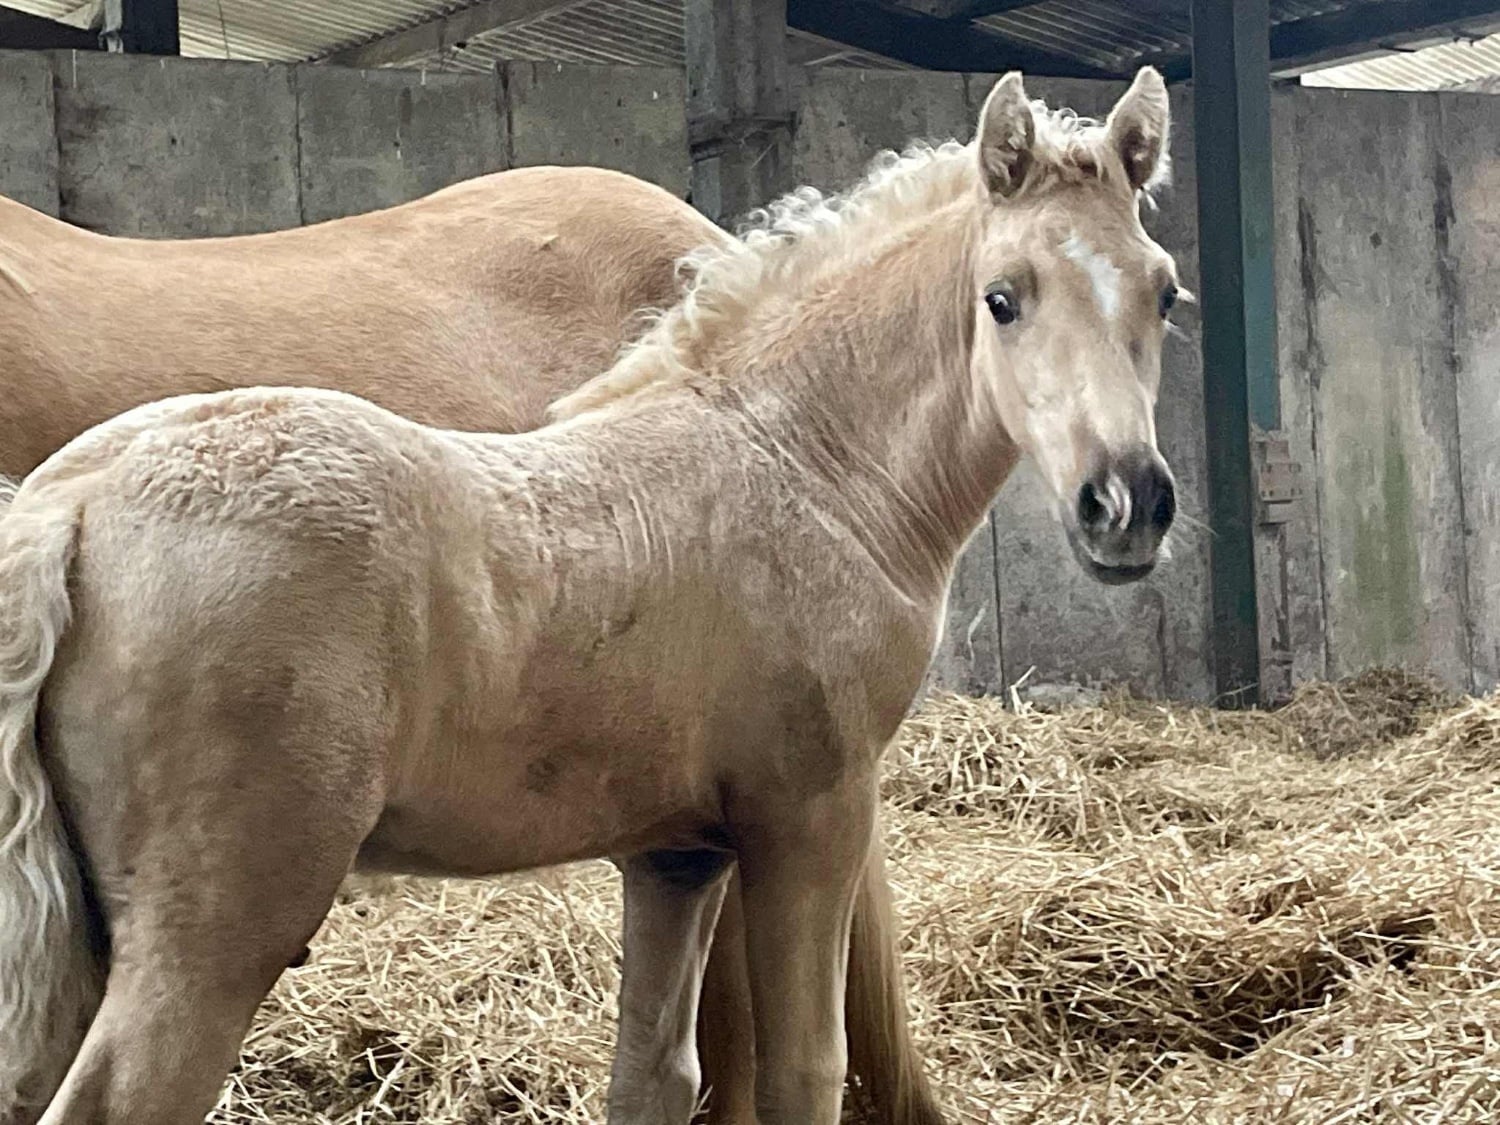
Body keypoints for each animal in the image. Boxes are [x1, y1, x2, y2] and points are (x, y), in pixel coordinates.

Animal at [0, 67, 1179, 1124]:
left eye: (1165, 292)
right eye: (1002, 298)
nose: (1125, 503)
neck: (798, 457)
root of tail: (73, 501)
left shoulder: (679, 854)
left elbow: (657, 1078)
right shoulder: (811, 812)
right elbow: (802, 1072)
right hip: (217, 924)